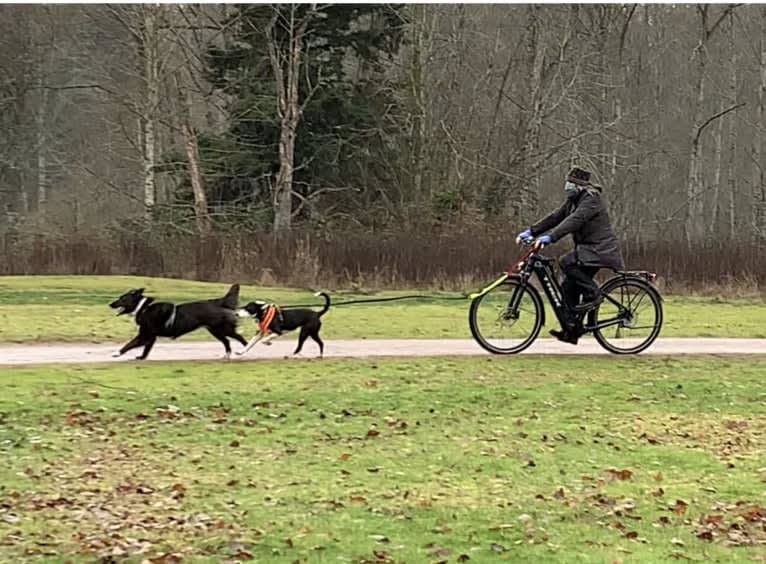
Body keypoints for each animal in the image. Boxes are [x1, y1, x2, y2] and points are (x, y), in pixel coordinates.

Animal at [109, 284, 248, 360]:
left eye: (122, 298)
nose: (110, 304)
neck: (143, 308)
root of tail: (218, 302)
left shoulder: (145, 335)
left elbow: (129, 344)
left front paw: (116, 353)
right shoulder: (151, 337)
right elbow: (146, 349)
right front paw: (142, 358)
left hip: (223, 329)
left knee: (240, 338)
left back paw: (244, 351)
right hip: (215, 330)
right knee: (227, 341)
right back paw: (227, 355)